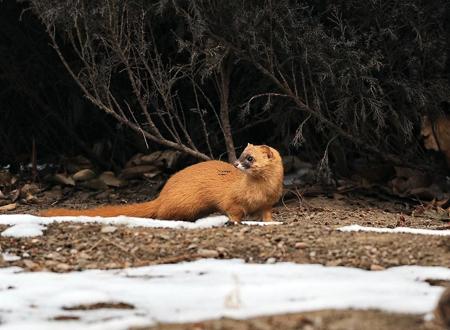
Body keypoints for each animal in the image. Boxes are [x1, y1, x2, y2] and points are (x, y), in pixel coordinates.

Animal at [40, 144, 284, 223]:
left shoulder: (269, 202)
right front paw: (234, 222)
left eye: (249, 158)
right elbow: (232, 210)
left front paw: (271, 222)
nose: (235, 162)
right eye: (242, 154)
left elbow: (266, 213)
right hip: (185, 202)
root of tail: (163, 194)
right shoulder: (231, 199)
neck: (259, 192)